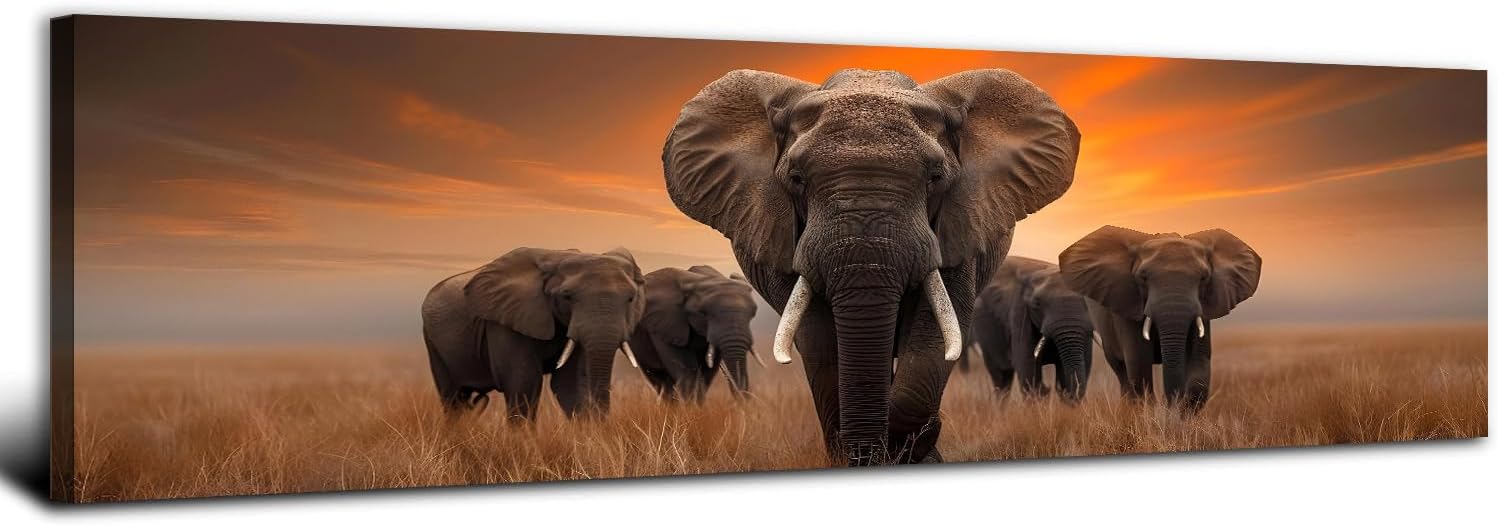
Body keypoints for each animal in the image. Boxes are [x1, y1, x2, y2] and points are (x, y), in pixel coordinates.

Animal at [420, 247, 646, 422]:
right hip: (432, 341)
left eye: (631, 298)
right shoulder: (506, 323)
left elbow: (570, 382)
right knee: (452, 398)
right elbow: (523, 381)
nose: (600, 422)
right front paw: (523, 444)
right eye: (567, 296)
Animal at [628, 265, 762, 402]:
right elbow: (686, 370)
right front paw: (692, 407)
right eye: (703, 314)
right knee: (659, 378)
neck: (697, 281)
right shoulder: (665, 325)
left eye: (753, 313)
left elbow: (707, 371)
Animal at [662, 68, 1080, 465]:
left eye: (936, 178)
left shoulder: (960, 228)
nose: (934, 429)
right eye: (796, 179)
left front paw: (913, 444)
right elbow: (821, 343)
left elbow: (933, 337)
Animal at [971, 256, 1094, 402]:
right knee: (1001, 378)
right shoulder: (1020, 314)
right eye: (1037, 303)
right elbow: (1028, 370)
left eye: (1087, 301)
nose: (1048, 388)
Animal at [1058, 226, 1261, 411]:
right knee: (1122, 371)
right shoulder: (1128, 306)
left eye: (1204, 278)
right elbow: (1139, 362)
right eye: (1142, 277)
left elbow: (1199, 367)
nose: (1170, 404)